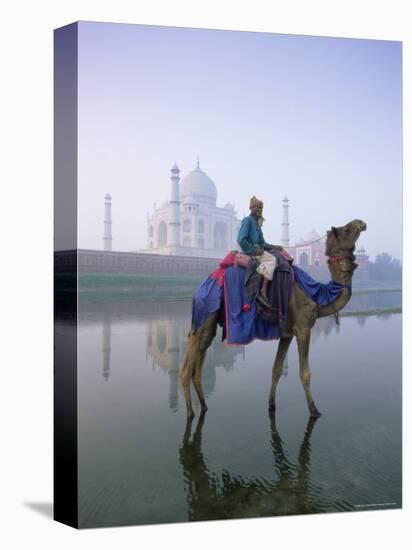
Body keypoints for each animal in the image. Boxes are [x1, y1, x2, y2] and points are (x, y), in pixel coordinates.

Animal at [180, 220, 366, 418]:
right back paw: (190, 413)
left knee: (200, 355)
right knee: (186, 369)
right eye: (346, 229)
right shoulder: (303, 328)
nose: (361, 223)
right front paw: (315, 411)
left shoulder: (287, 332)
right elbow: (305, 373)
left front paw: (271, 406)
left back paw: (204, 406)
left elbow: (276, 369)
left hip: (209, 319)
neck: (316, 294)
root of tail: (201, 286)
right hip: (204, 309)